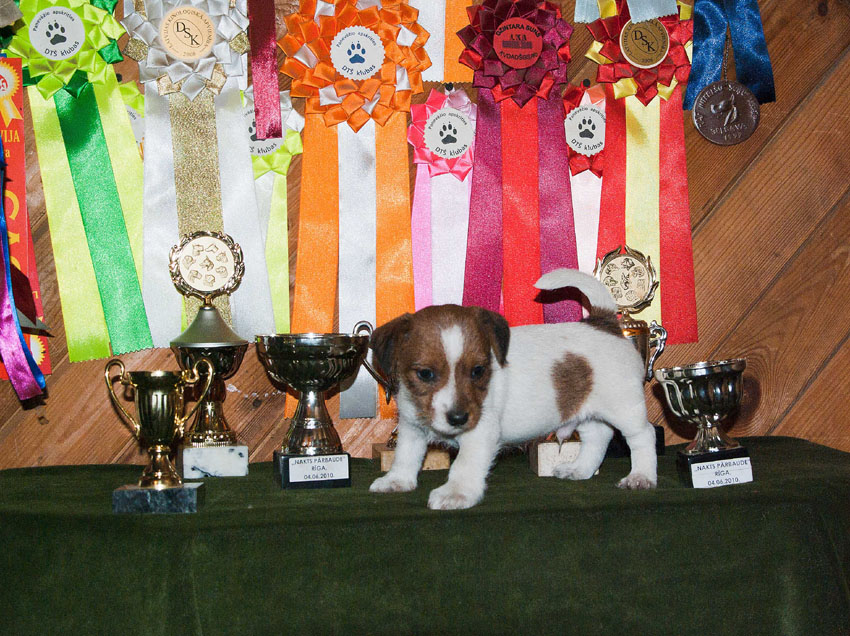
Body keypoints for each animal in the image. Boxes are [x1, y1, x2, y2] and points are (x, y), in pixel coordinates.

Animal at [368, 268, 656, 510]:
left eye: (478, 370)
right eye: (425, 374)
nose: (459, 418)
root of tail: (604, 322)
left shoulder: (480, 432)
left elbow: (464, 464)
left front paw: (456, 493)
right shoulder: (411, 427)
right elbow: (405, 456)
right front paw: (396, 481)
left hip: (624, 407)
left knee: (643, 436)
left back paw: (641, 477)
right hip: (583, 407)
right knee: (598, 436)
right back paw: (579, 469)